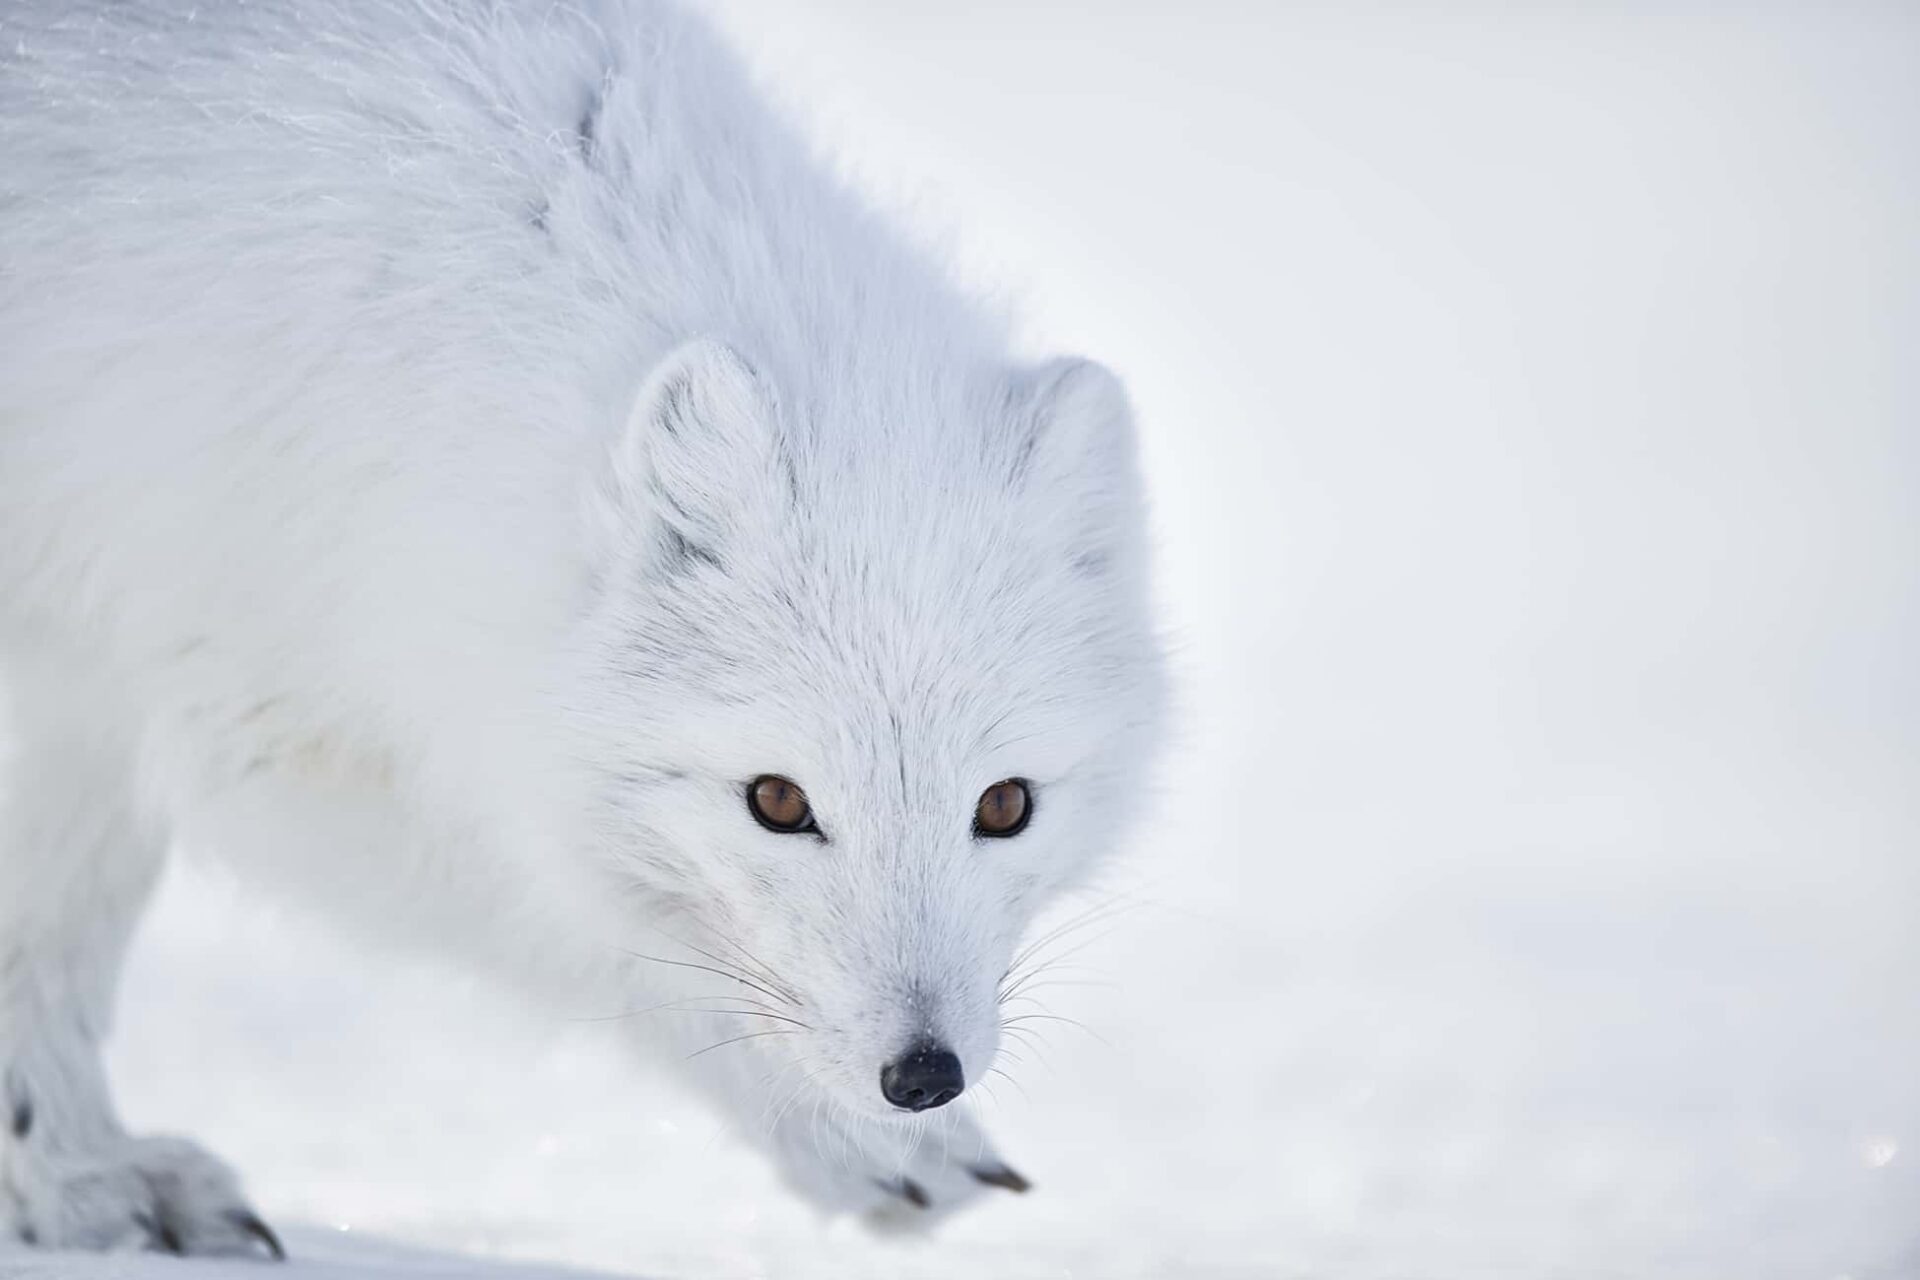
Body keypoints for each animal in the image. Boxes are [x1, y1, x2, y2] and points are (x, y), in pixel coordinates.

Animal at [0, 0, 1159, 1258]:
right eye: (777, 801)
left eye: (1005, 806)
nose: (922, 1074)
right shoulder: (261, 707)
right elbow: (608, 933)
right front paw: (852, 1135)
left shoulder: (103, 682)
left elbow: (46, 940)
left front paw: (66, 1174)